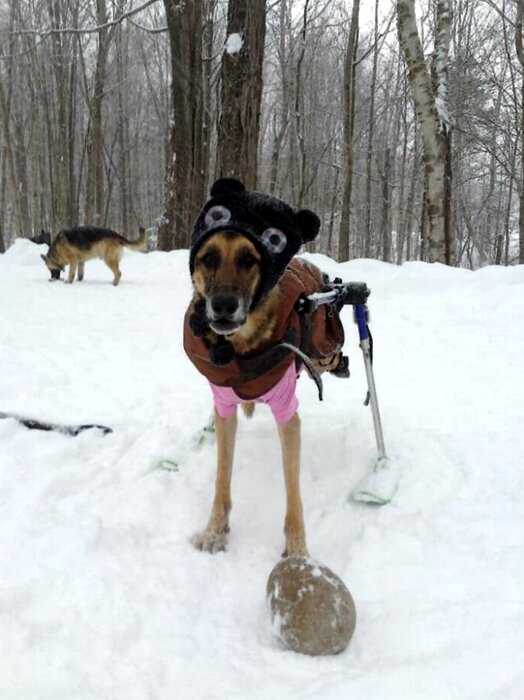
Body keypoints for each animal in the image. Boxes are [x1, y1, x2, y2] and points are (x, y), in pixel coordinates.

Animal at [182, 179, 346, 556]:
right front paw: (215, 531)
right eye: (208, 258)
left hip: (323, 349)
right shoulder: (224, 408)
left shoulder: (288, 414)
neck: (239, 347)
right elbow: (222, 478)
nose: (223, 305)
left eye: (250, 259)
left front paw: (298, 549)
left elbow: (293, 494)